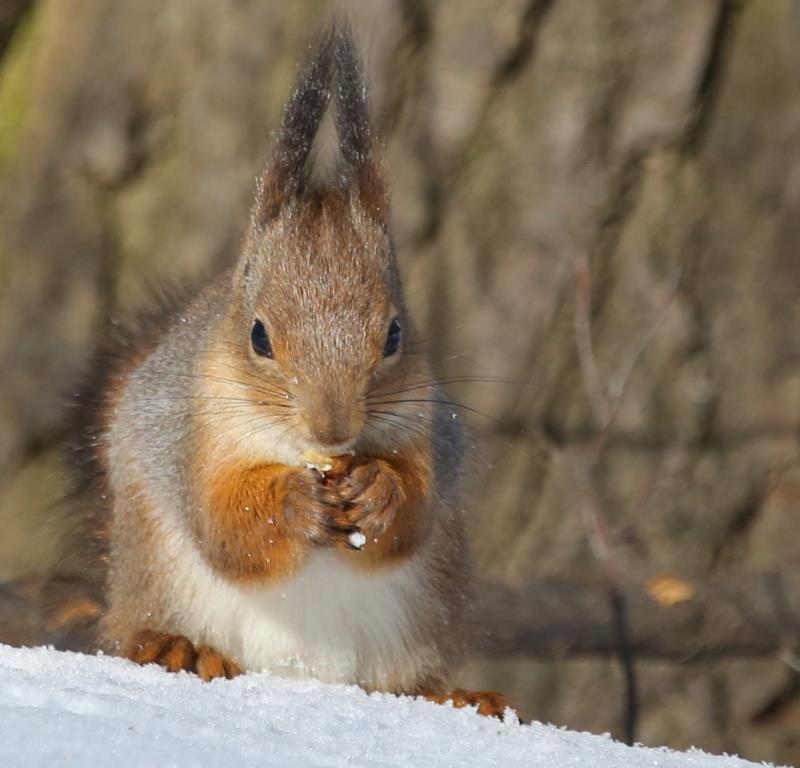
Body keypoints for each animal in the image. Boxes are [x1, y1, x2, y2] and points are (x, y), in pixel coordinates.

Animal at [73, 24, 506, 720]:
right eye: (258, 336)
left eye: (394, 335)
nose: (334, 430)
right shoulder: (194, 433)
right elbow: (224, 524)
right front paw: (295, 505)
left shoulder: (426, 428)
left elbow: (412, 514)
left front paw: (381, 490)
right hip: (151, 574)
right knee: (141, 628)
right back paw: (176, 647)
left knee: (409, 683)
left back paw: (457, 696)